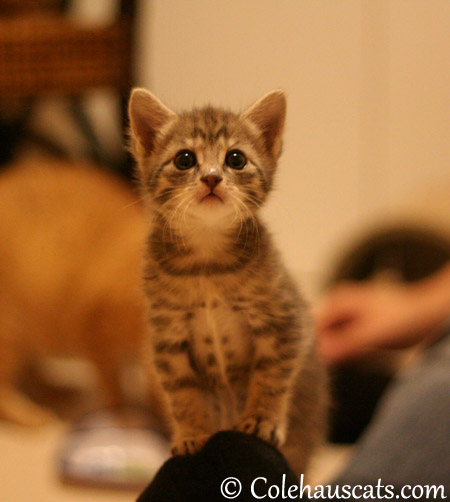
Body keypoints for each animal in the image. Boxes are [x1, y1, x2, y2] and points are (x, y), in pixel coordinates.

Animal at [127, 88, 326, 472]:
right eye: (185, 159)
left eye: (235, 159)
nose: (211, 177)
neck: (207, 264)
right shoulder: (167, 337)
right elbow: (182, 392)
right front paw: (191, 433)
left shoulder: (284, 320)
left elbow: (272, 374)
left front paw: (262, 419)